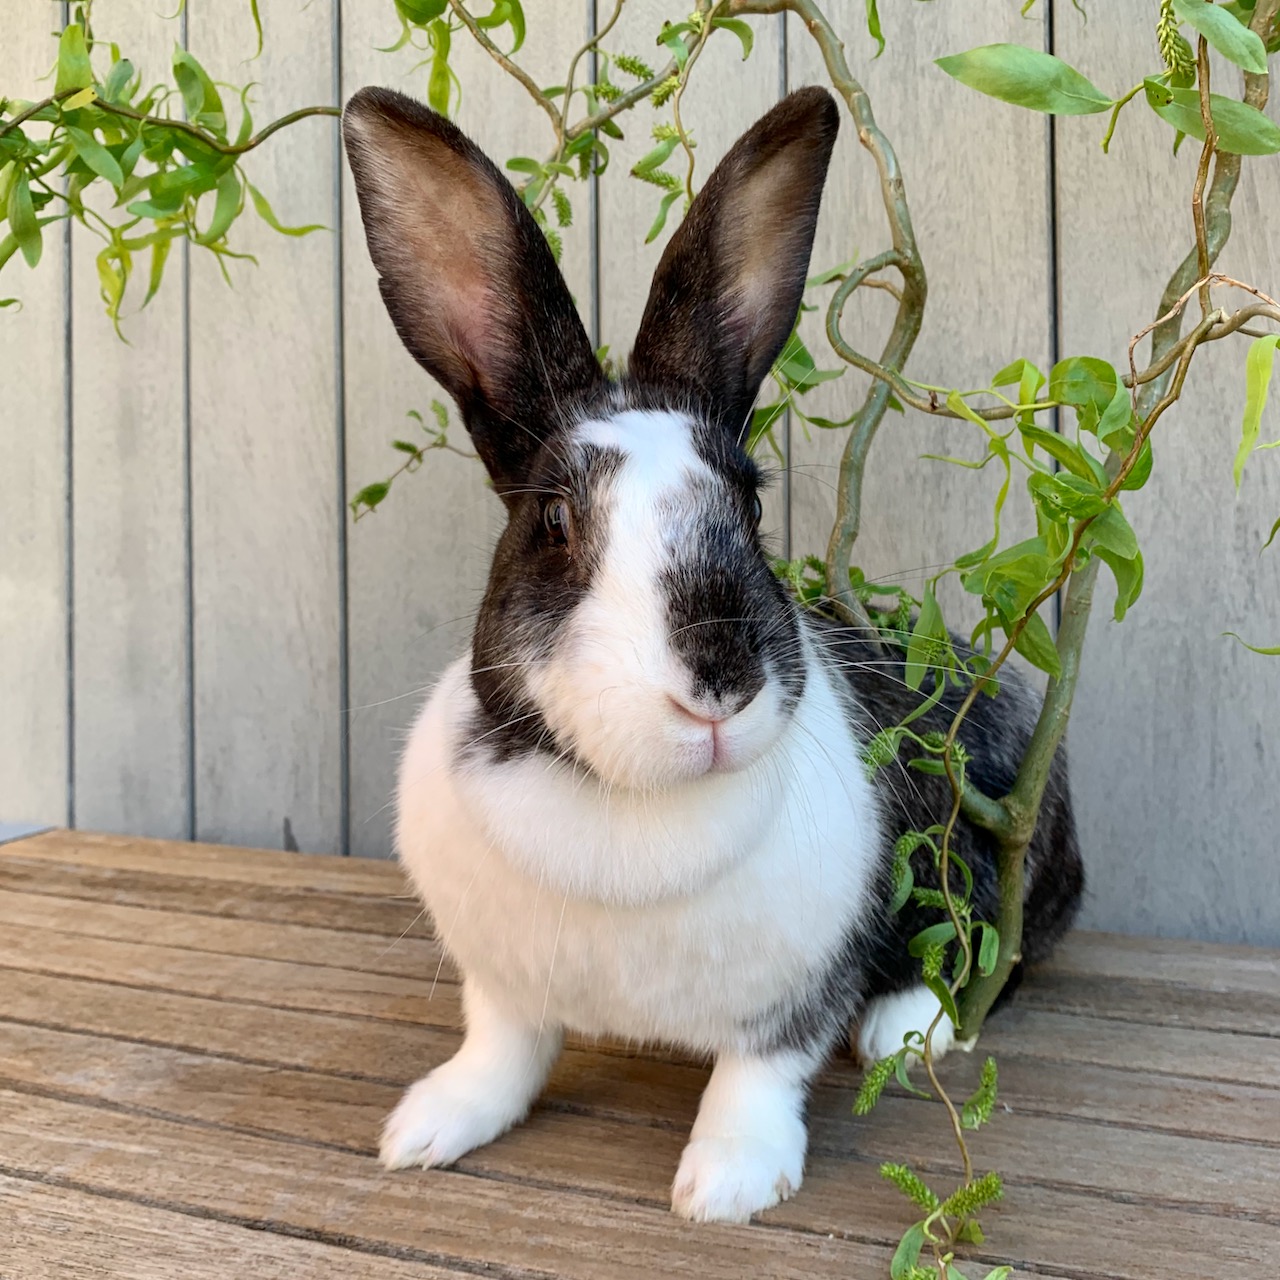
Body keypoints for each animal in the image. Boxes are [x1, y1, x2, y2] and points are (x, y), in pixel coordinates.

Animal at [343, 83, 1084, 1225]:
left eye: (750, 503)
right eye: (553, 521)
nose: (719, 687)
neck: (621, 805)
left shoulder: (794, 994)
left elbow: (758, 1071)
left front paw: (727, 1183)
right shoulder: (500, 985)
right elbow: (501, 1052)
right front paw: (427, 1127)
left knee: (984, 952)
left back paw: (901, 1027)